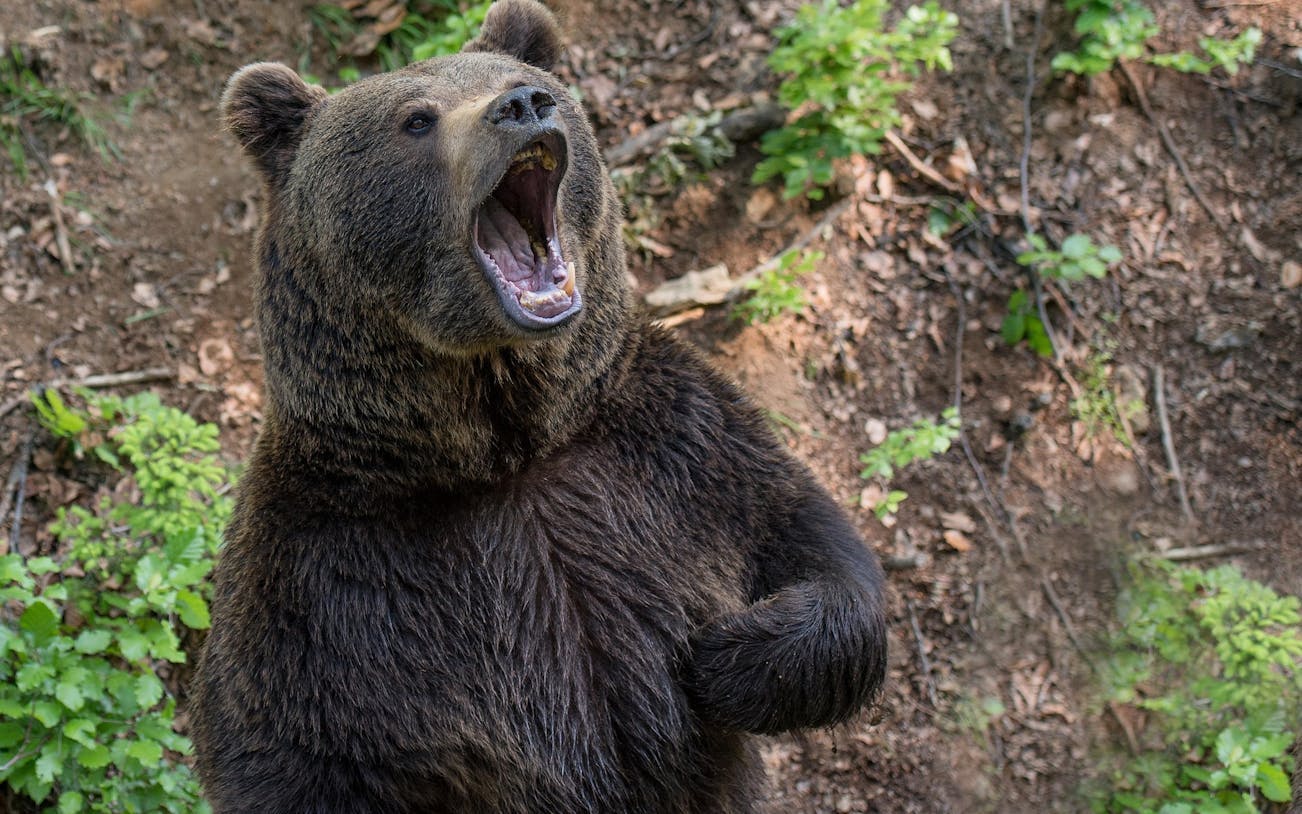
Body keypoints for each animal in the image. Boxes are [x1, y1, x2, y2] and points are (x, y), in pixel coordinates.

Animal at [191, 1, 888, 811]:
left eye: (521, 80)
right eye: (416, 119)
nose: (523, 106)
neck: (508, 449)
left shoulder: (678, 452)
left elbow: (814, 546)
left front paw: (728, 658)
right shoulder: (324, 586)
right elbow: (282, 753)